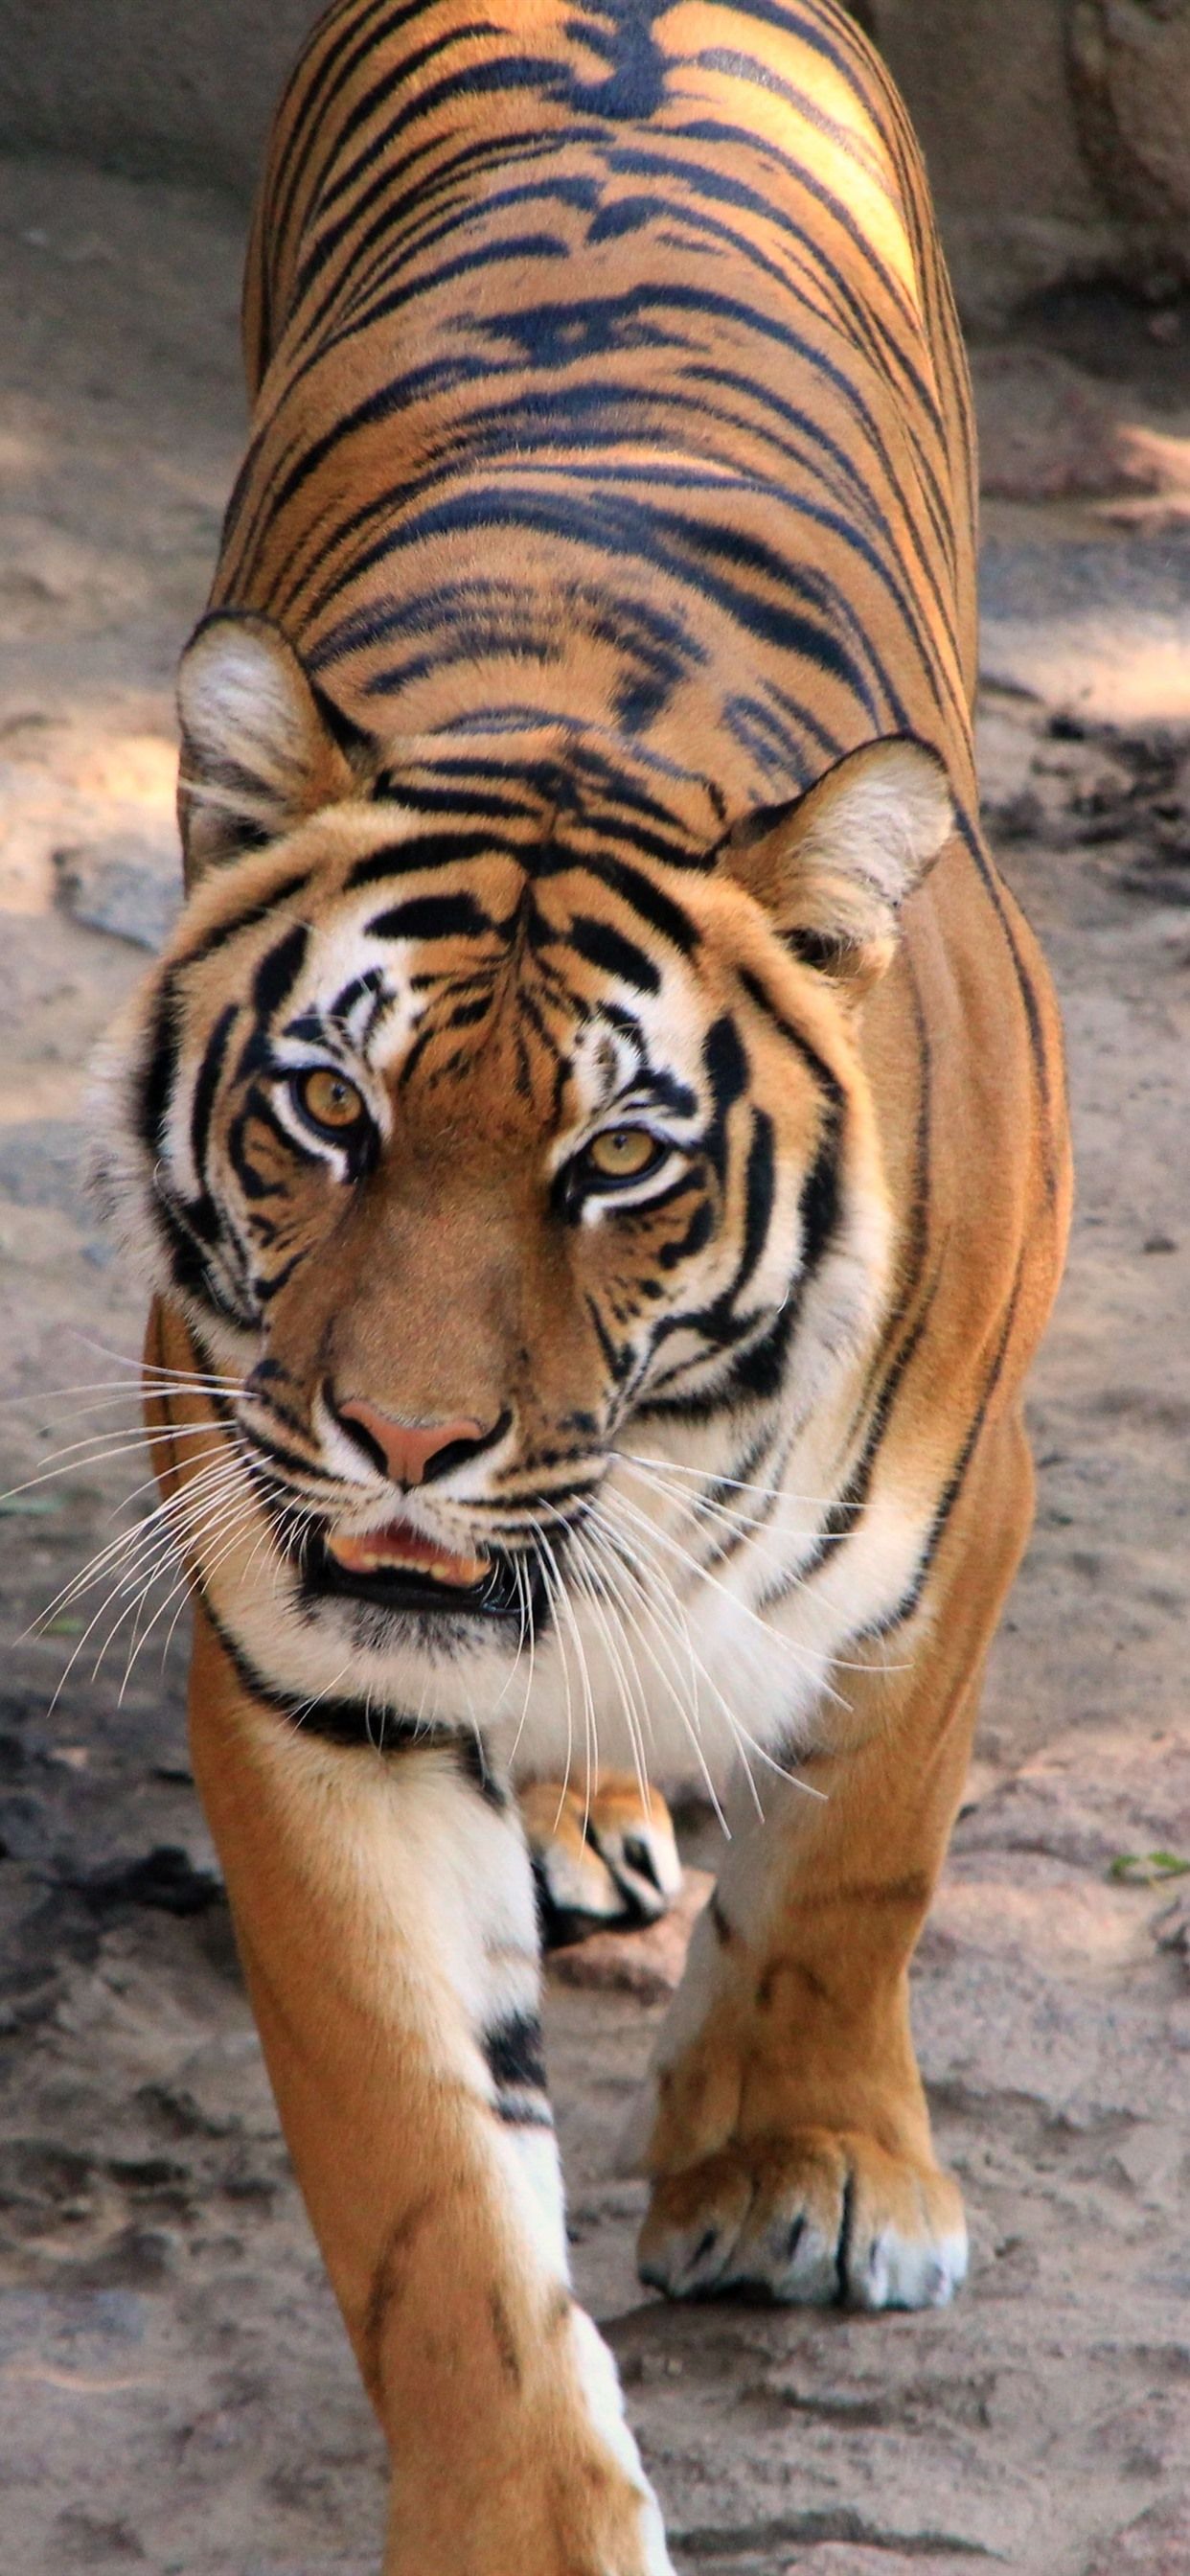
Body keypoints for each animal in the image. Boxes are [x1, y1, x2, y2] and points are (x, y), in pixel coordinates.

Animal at [92, 1, 1071, 2566]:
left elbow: (862, 1855)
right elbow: (433, 2193)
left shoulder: (966, 1517)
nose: (408, 1440)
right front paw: (530, 2515)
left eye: (617, 1161)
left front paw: (808, 2176)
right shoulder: (302, 1641)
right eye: (325, 1110)